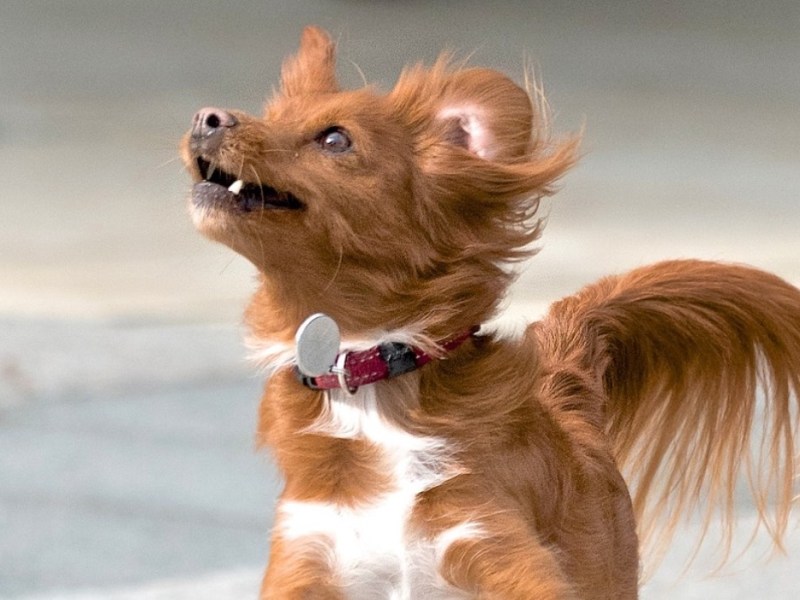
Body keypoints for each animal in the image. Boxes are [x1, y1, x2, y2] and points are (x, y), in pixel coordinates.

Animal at [181, 25, 800, 596]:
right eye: (271, 114)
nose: (206, 118)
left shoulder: (497, 546)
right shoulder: (308, 556)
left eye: (335, 139)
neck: (372, 370)